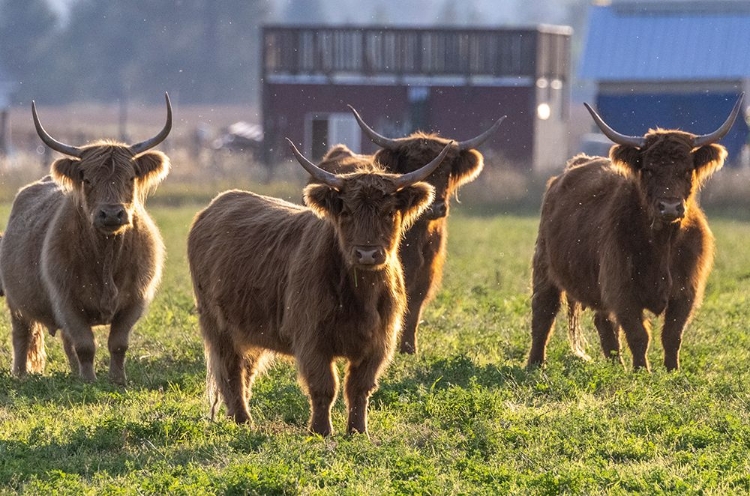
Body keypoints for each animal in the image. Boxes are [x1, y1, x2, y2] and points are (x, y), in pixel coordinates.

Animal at [0, 96, 172, 384]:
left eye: (130, 177)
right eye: (88, 179)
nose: (111, 213)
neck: (106, 257)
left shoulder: (134, 301)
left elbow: (118, 344)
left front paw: (117, 380)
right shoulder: (67, 302)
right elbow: (85, 345)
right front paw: (88, 381)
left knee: (65, 343)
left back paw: (73, 372)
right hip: (16, 302)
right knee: (22, 336)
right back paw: (21, 374)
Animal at [188, 138, 452, 436]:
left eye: (388, 212)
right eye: (346, 212)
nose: (367, 254)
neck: (360, 296)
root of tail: (220, 201)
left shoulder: (379, 343)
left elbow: (359, 387)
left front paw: (358, 431)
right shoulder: (311, 338)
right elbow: (324, 386)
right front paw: (321, 430)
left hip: (250, 327)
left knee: (246, 368)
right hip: (218, 325)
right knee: (230, 369)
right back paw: (243, 420)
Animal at [330, 107, 502, 354]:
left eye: (447, 171)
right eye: (413, 167)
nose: (435, 207)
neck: (416, 238)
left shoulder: (427, 271)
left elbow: (415, 305)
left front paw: (409, 348)